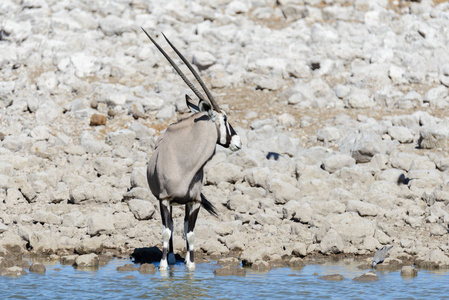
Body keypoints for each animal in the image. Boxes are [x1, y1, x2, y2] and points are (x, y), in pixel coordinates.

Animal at [143, 29, 242, 270]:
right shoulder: (164, 199)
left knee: (184, 226)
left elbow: (191, 234)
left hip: (186, 204)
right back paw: (169, 257)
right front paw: (163, 266)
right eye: (225, 119)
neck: (185, 163)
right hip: (167, 203)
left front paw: (191, 265)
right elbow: (166, 231)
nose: (238, 141)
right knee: (169, 228)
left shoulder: (194, 201)